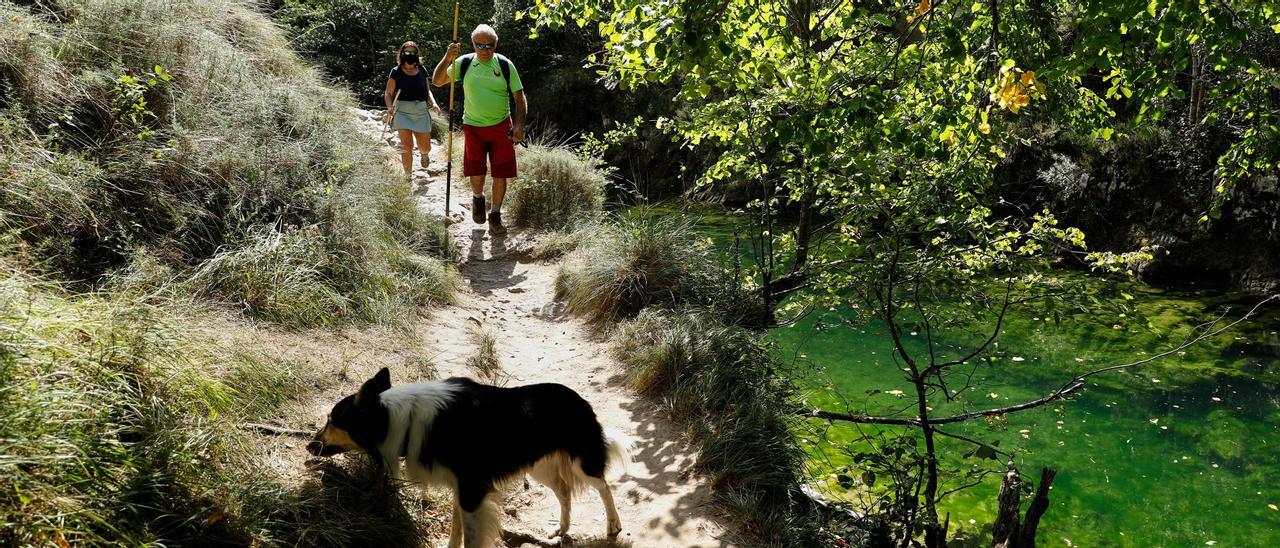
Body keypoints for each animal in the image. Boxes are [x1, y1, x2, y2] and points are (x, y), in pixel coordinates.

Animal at [309, 368, 629, 548]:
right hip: (539, 468)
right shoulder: (459, 490)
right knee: (564, 491)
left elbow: (470, 538)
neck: (398, 420)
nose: (310, 445)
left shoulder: (473, 492)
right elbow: (456, 531)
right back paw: (562, 529)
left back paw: (613, 526)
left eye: (331, 421)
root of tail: (579, 399)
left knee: (603, 485)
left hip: (581, 462)